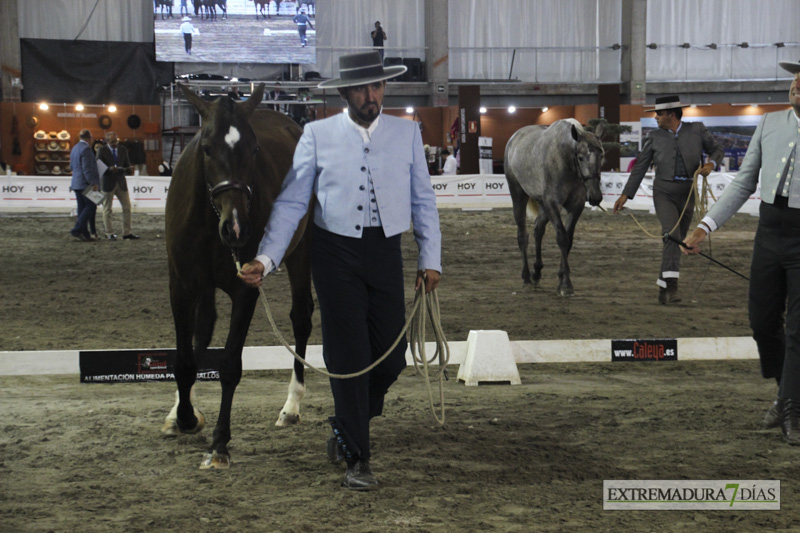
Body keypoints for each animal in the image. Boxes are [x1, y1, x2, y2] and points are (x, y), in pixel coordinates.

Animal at [162, 81, 312, 468]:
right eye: (206, 148)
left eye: (254, 149)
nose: (236, 228)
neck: (209, 220)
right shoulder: (182, 286)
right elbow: (184, 358)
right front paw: (184, 415)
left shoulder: (246, 289)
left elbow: (230, 365)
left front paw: (219, 444)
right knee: (203, 328)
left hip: (302, 251)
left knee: (301, 318)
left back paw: (291, 406)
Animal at [506, 118, 608, 298]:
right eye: (580, 157)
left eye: (601, 155)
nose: (595, 197)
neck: (565, 159)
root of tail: (514, 137)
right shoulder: (552, 203)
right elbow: (561, 238)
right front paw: (566, 284)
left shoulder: (575, 206)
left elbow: (568, 240)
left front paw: (561, 278)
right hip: (518, 194)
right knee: (522, 235)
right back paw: (527, 278)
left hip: (543, 204)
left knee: (538, 229)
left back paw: (536, 273)